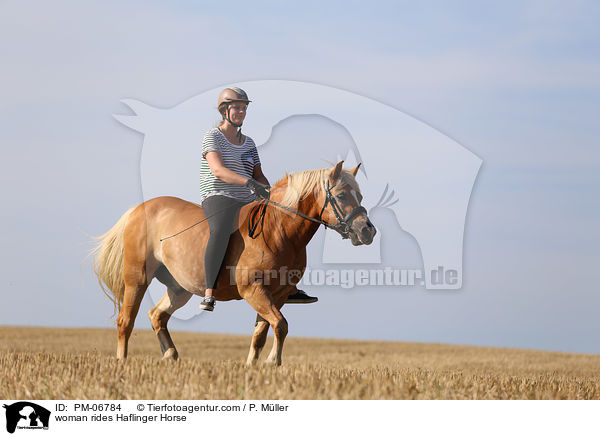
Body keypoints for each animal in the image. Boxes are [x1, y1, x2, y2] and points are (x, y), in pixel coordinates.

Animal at [90, 160, 376, 364]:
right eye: (341, 196)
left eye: (360, 196)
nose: (367, 232)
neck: (278, 229)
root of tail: (138, 210)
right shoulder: (253, 290)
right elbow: (280, 325)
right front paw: (273, 362)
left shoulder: (277, 295)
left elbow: (263, 333)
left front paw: (254, 366)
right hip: (137, 279)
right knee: (126, 321)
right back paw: (122, 362)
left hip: (179, 288)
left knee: (157, 315)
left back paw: (170, 355)